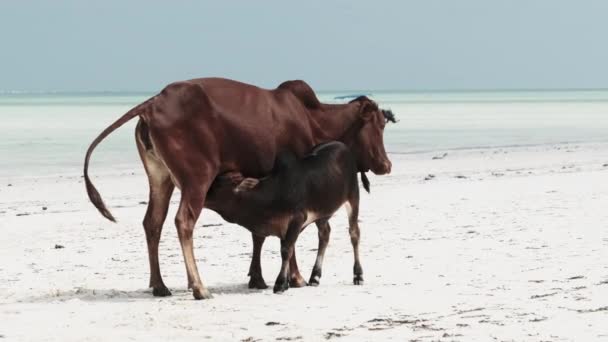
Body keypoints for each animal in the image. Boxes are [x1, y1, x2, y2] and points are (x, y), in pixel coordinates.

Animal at [208, 140, 366, 292]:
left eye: (219, 184)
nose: (205, 195)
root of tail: (342, 145)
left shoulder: (297, 219)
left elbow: (286, 250)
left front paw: (280, 283)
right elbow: (288, 248)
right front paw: (288, 282)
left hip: (353, 197)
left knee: (354, 233)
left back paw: (358, 275)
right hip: (322, 213)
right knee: (324, 235)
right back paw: (315, 277)